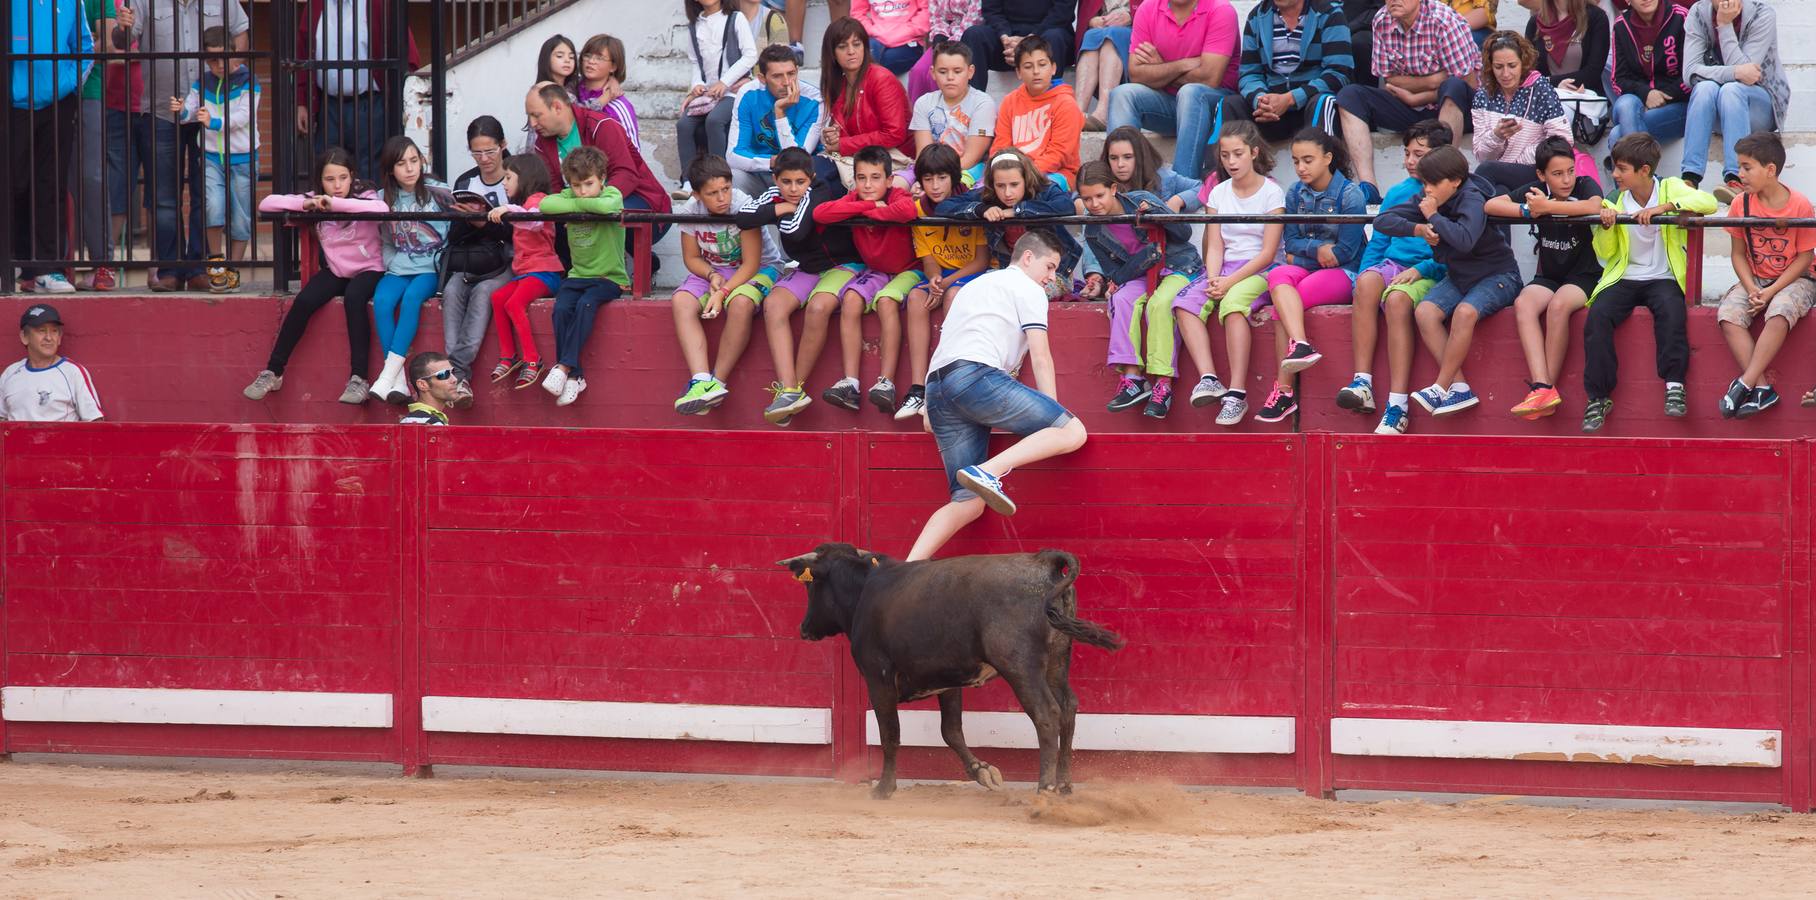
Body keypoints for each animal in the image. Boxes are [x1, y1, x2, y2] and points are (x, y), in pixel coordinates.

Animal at [777, 544, 1118, 798]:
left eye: (811, 586)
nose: (804, 628)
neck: (864, 591)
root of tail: (1043, 563)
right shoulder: (950, 679)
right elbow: (951, 731)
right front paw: (983, 773)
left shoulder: (878, 678)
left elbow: (890, 733)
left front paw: (884, 789)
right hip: (1057, 661)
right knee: (1069, 708)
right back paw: (1064, 785)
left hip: (1020, 666)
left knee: (1046, 714)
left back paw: (1044, 789)